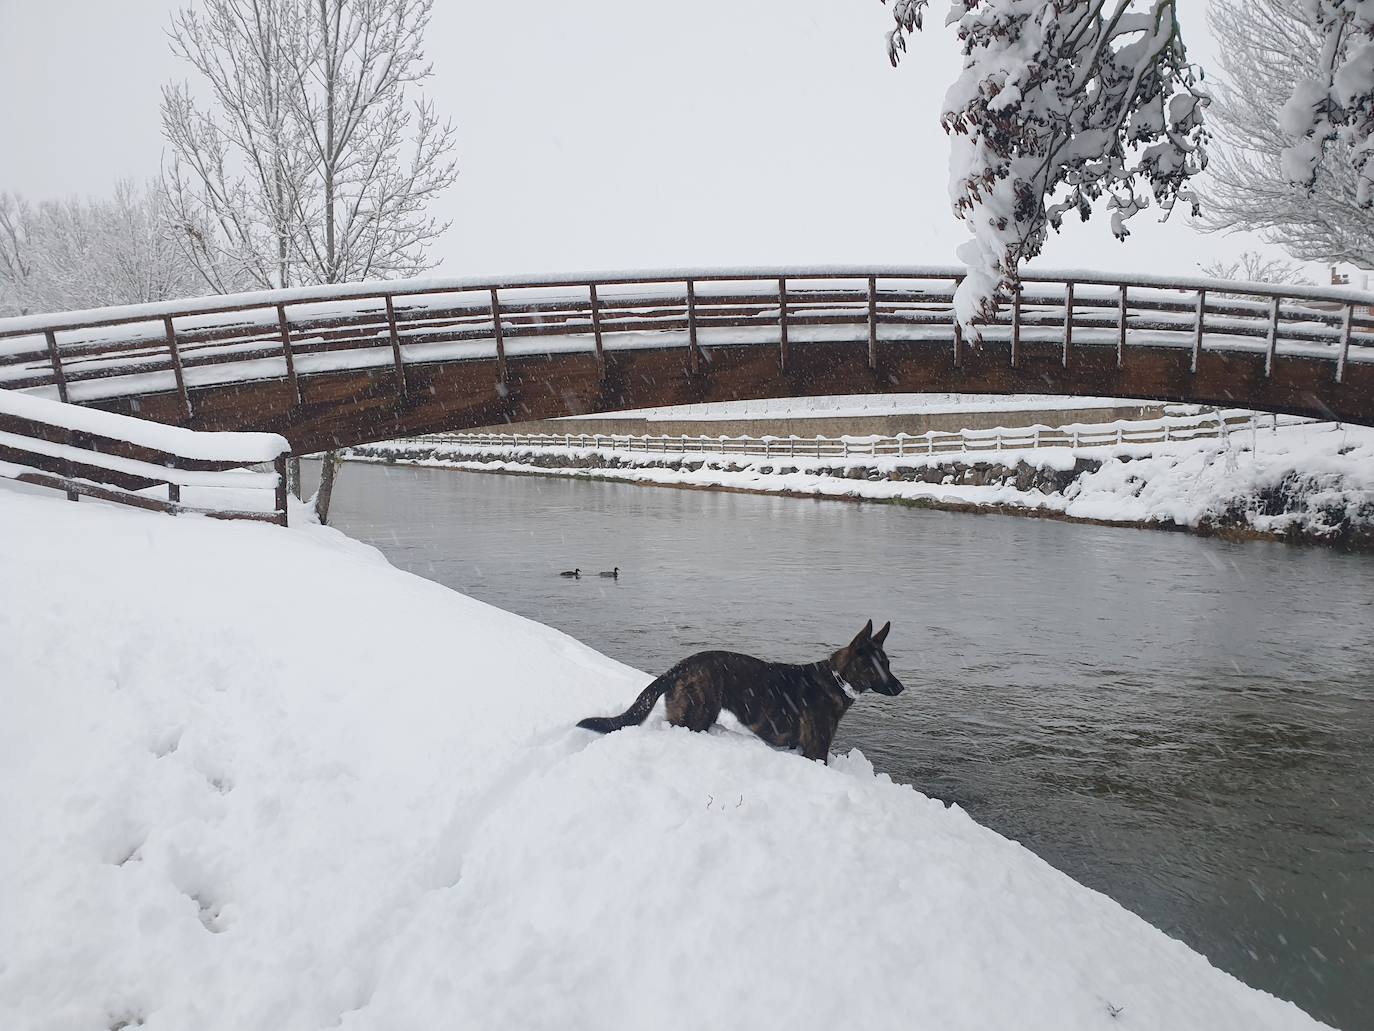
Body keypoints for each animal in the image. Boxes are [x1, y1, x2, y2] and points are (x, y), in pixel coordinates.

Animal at [577, 618, 906, 764]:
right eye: (875, 667)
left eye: (888, 663)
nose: (900, 687)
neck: (835, 680)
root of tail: (679, 667)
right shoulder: (815, 750)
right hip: (697, 716)